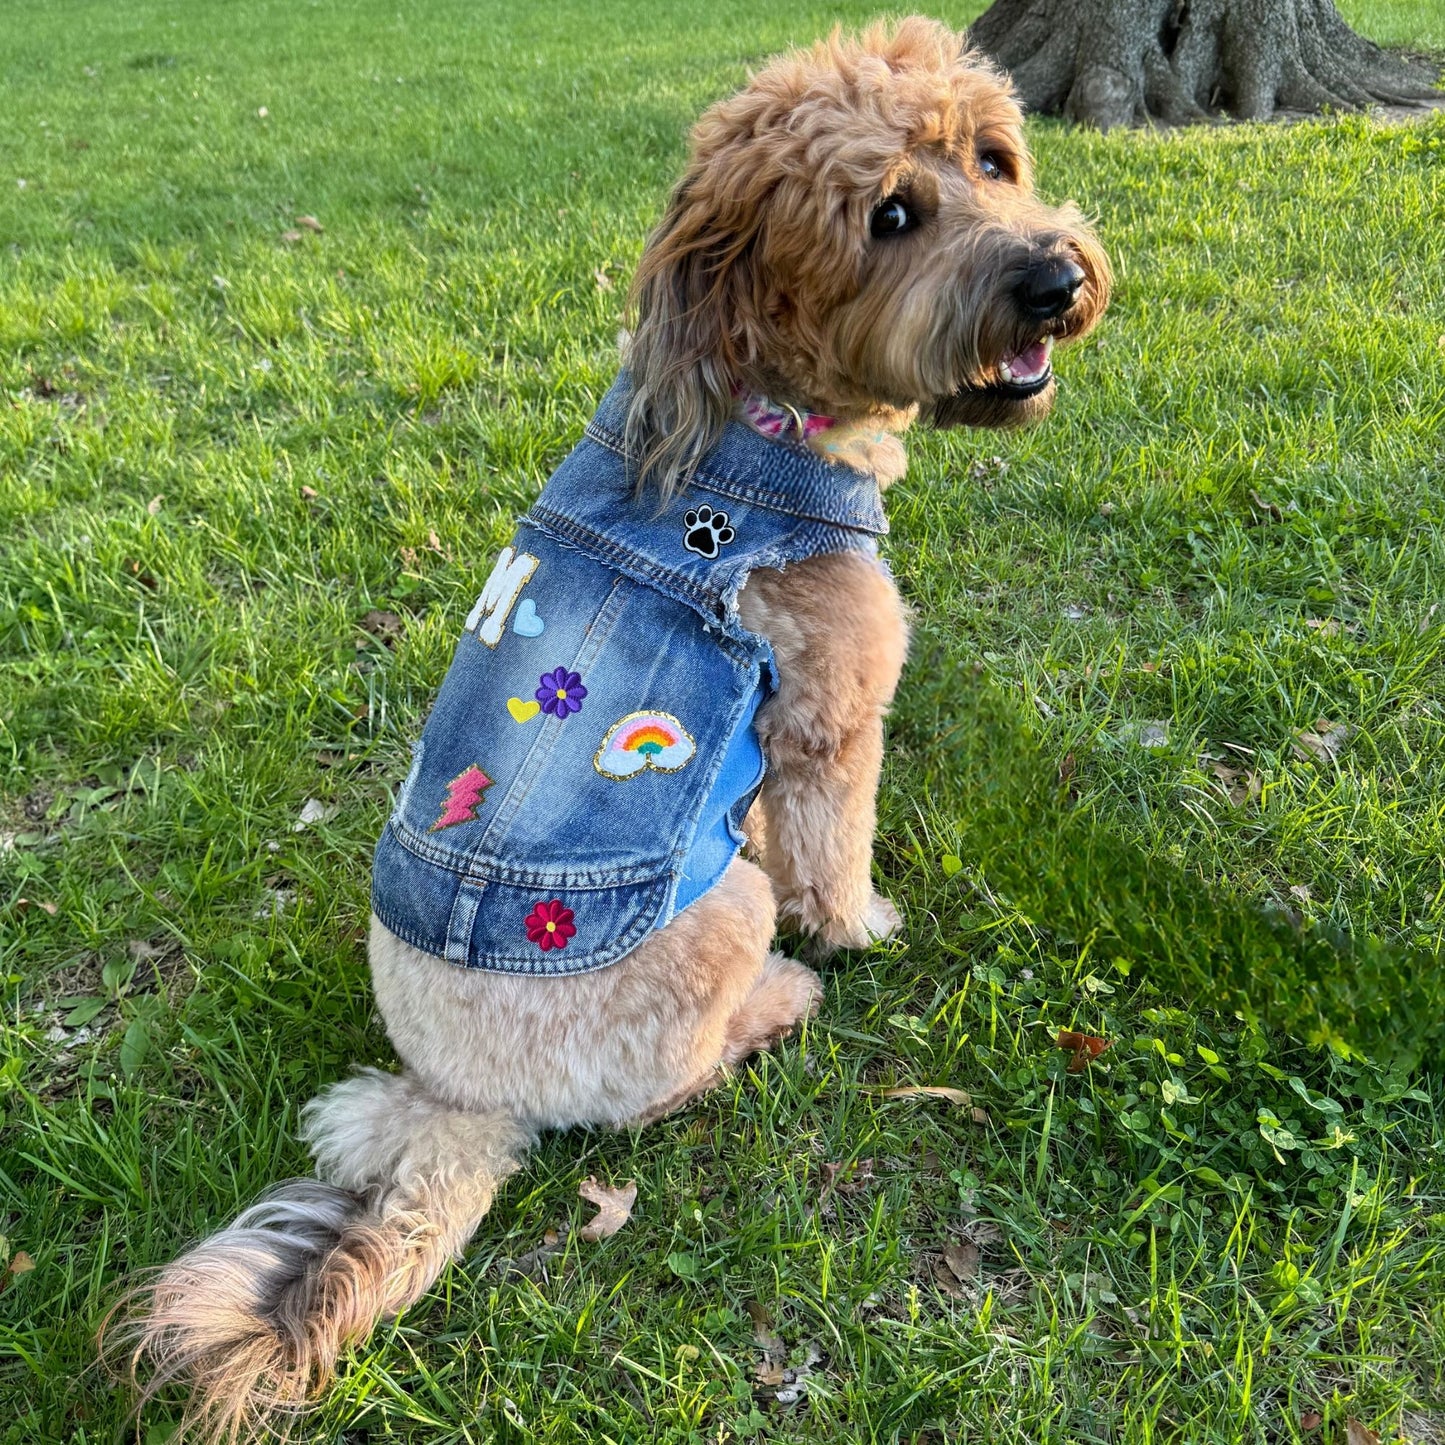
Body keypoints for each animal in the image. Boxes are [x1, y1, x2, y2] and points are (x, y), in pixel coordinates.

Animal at [109, 16, 1103, 1439]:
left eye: (993, 157)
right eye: (888, 217)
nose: (1054, 277)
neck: (757, 413)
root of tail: (462, 1100)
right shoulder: (830, 718)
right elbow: (833, 854)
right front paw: (861, 926)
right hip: (714, 917)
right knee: (662, 1085)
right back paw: (778, 1001)